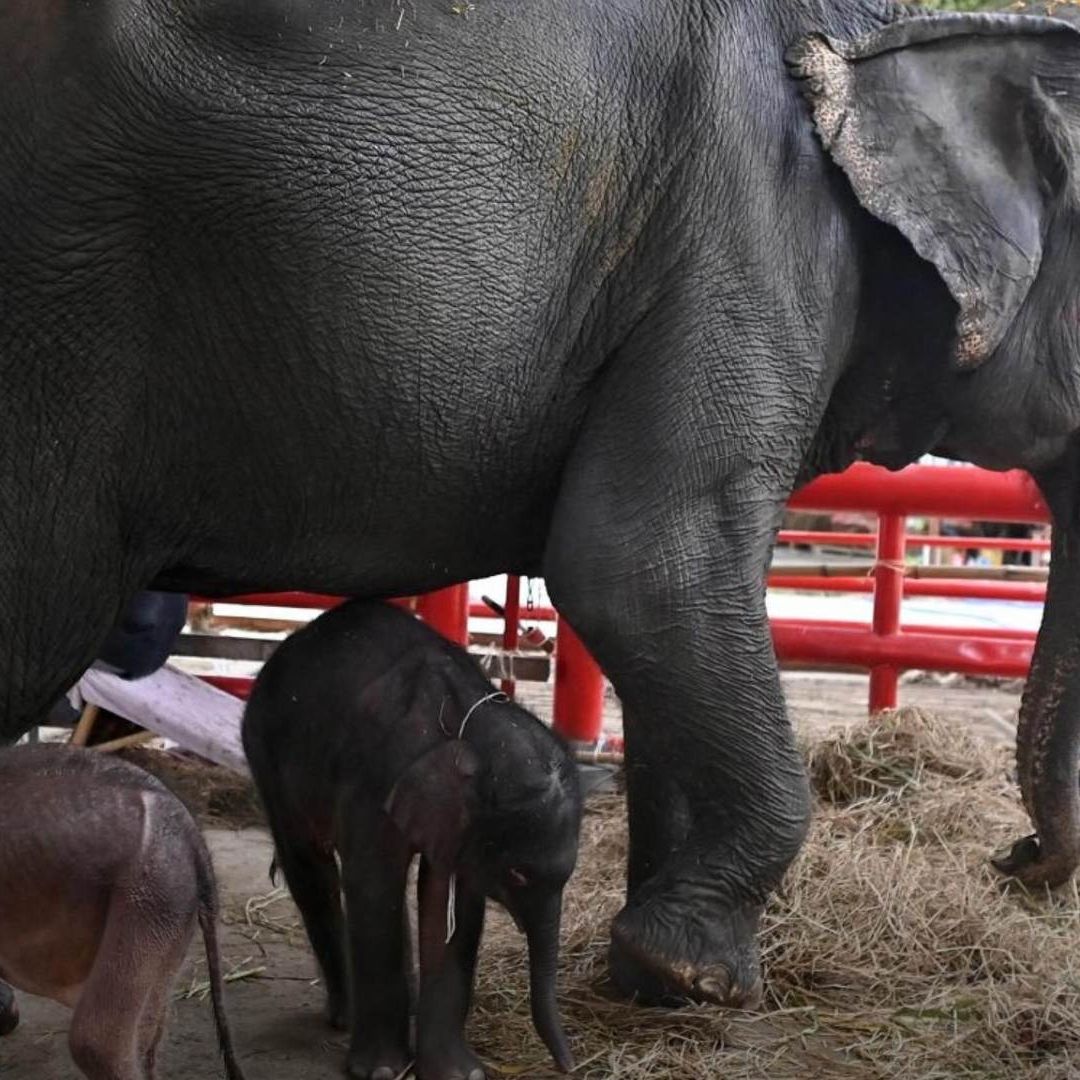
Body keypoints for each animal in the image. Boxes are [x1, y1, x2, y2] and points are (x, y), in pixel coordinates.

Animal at [241, 600, 582, 1080]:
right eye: (517, 875)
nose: (568, 1066)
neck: (466, 722)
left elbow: (448, 904)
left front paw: (459, 1075)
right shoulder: (371, 780)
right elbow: (374, 885)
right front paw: (381, 1072)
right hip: (265, 752)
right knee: (310, 868)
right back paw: (344, 1016)